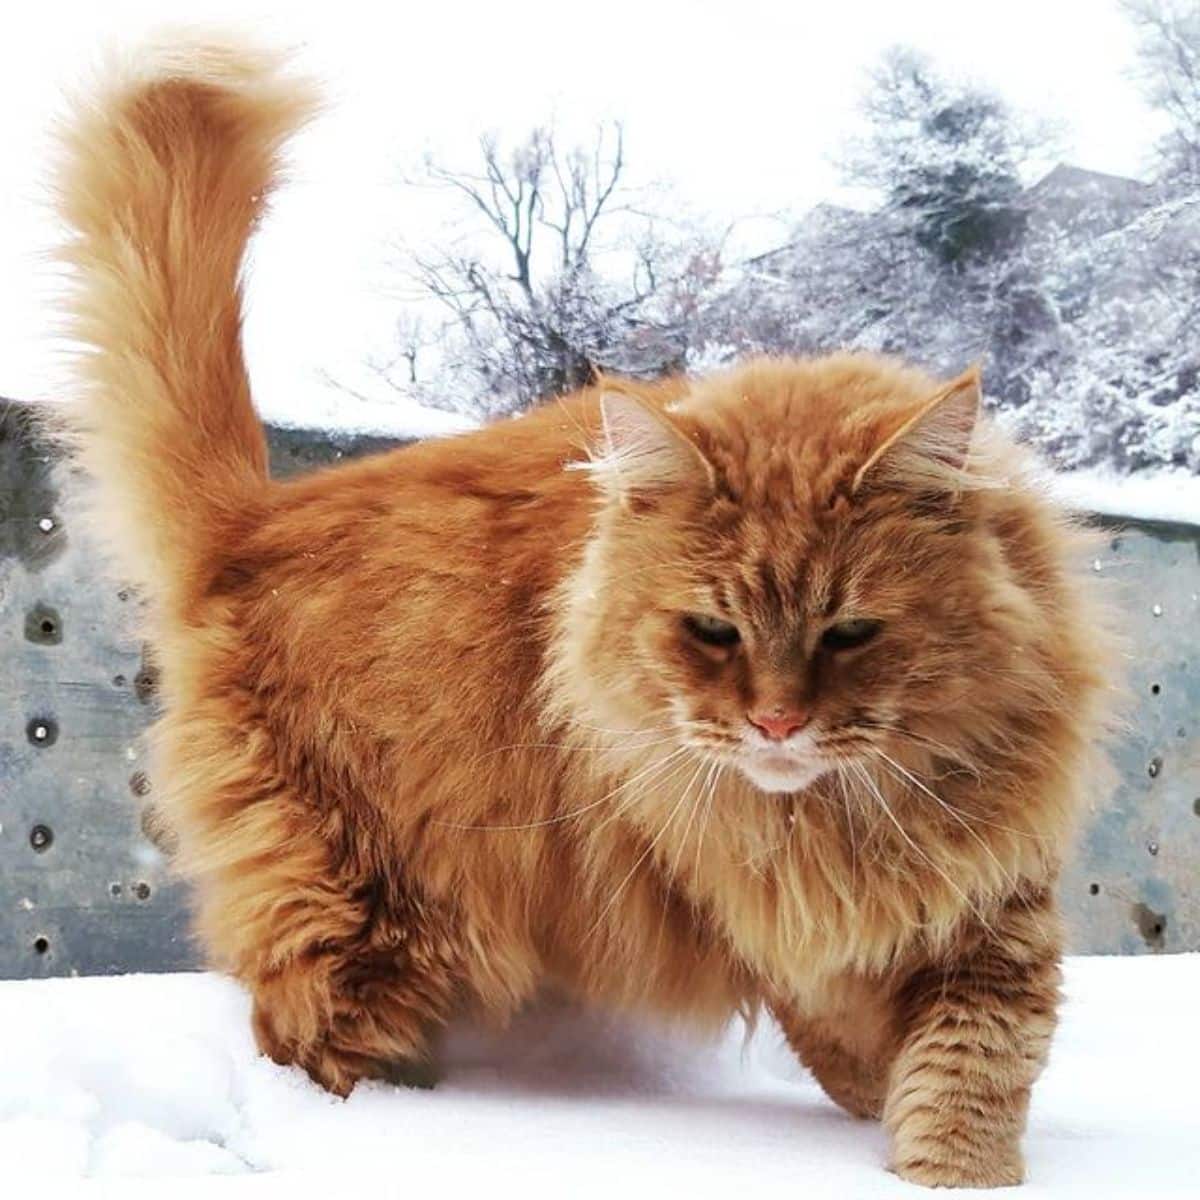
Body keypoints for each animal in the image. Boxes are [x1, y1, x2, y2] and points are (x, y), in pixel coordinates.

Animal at [49, 39, 1113, 1190]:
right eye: (713, 631)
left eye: (850, 633)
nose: (777, 722)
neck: (832, 824)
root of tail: (259, 515)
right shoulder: (753, 911)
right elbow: (863, 1042)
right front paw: (903, 1138)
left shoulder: (990, 901)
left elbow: (972, 1066)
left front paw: (951, 1170)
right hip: (374, 911)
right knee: (298, 1041)